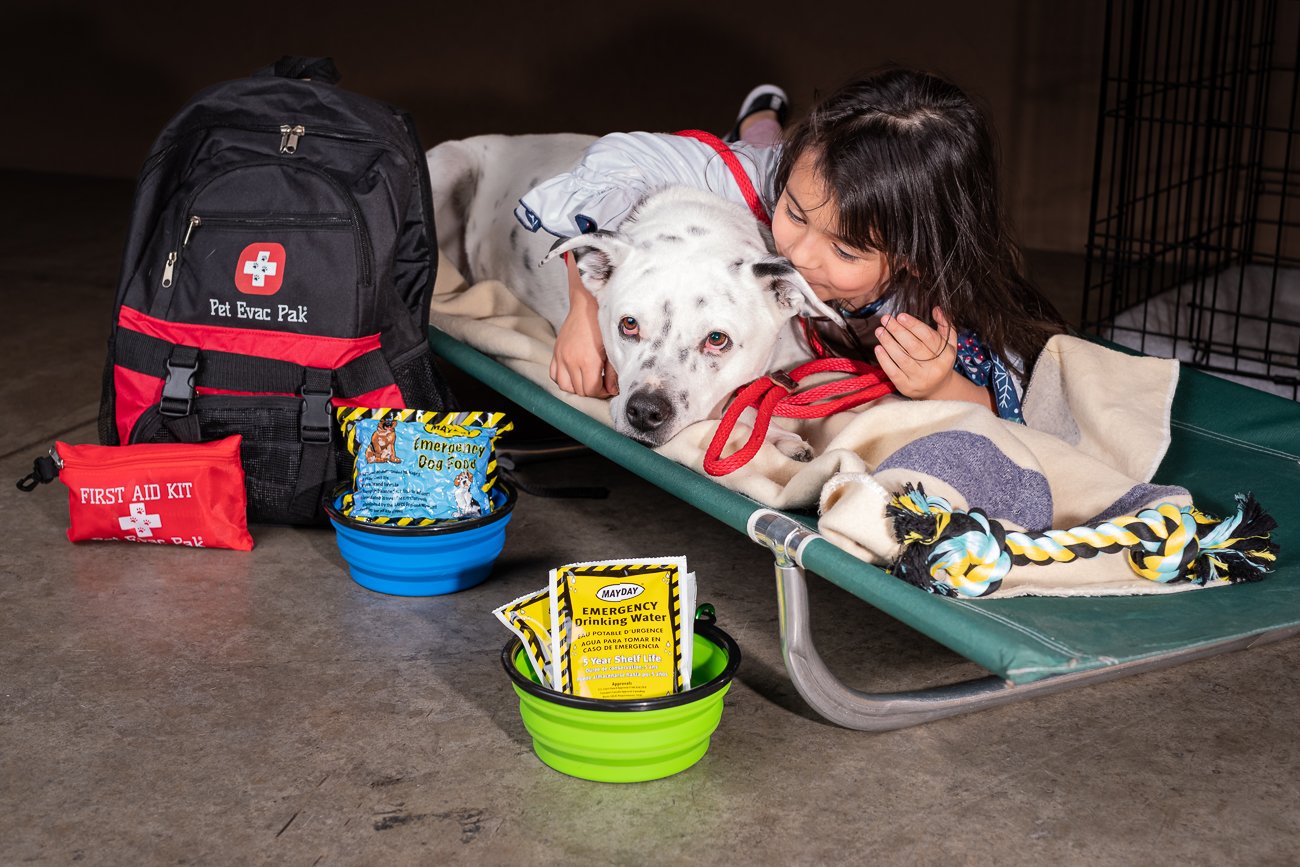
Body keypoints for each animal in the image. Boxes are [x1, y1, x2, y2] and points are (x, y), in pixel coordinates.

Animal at [426, 133, 842, 454]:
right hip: (447, 164)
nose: (644, 411)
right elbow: (734, 406)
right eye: (628, 324)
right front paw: (776, 436)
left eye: (717, 339)